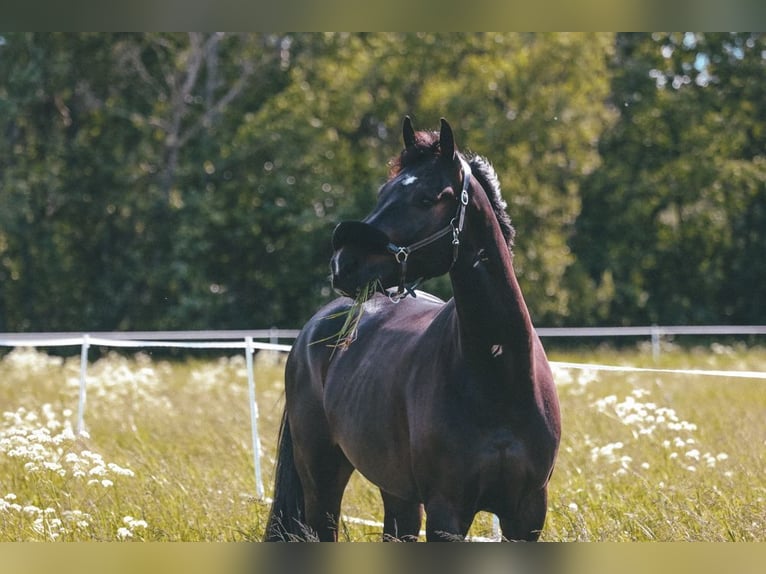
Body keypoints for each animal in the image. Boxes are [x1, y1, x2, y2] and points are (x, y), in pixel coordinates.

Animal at [268, 118, 560, 544]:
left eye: (426, 198)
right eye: (383, 192)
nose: (343, 263)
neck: (497, 378)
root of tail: (313, 330)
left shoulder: (527, 514)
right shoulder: (446, 512)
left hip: (397, 492)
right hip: (321, 479)